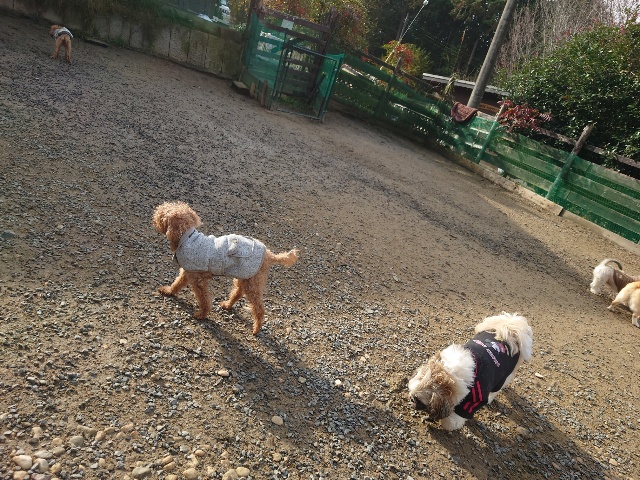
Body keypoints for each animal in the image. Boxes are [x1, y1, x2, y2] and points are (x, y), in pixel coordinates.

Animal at [152, 201, 299, 335]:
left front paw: (202, 314)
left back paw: (256, 329)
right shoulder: (188, 272)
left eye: (162, 215)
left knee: (259, 309)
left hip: (252, 282)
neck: (187, 238)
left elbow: (203, 298)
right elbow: (176, 284)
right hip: (244, 277)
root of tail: (269, 255)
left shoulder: (197, 279)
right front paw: (168, 291)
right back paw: (228, 305)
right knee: (238, 292)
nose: (154, 216)